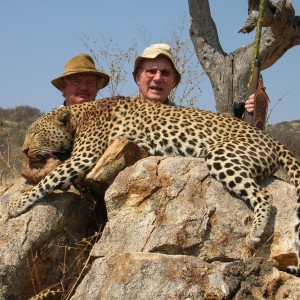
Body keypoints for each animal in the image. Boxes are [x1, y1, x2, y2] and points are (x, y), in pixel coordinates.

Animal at [7, 96, 300, 276]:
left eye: (36, 132)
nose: (23, 150)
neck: (82, 116)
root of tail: (272, 140)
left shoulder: (84, 156)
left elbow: (49, 179)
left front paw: (16, 205)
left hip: (221, 154)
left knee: (264, 195)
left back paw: (255, 233)